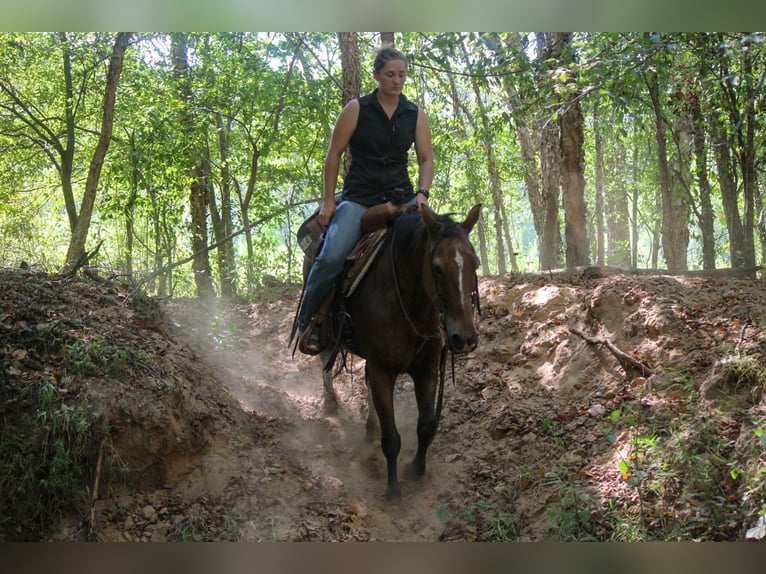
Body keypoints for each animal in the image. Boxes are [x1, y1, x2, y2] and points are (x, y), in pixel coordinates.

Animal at [316, 205, 484, 502]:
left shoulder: (427, 369)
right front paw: (392, 490)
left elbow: (426, 425)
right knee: (325, 360)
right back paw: (330, 403)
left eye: (474, 263)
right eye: (437, 268)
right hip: (327, 333)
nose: (464, 338)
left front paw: (416, 468)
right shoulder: (383, 370)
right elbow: (392, 439)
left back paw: (370, 427)